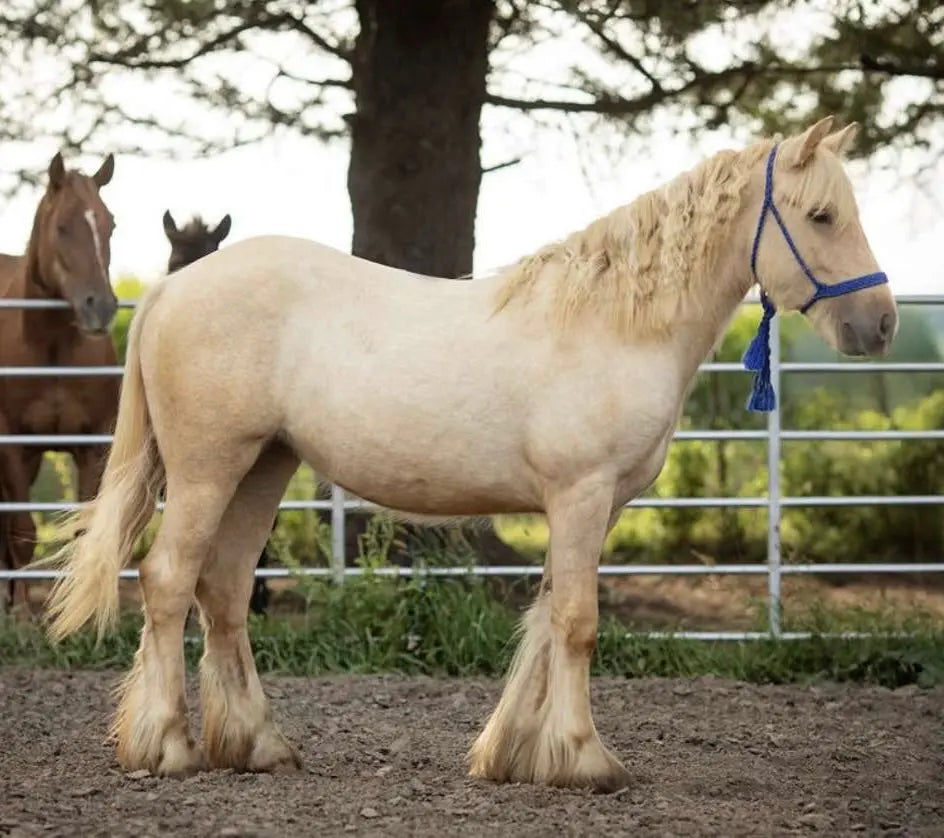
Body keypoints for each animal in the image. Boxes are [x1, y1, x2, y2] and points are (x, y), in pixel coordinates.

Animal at [0, 151, 119, 613]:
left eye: (110, 223)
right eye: (63, 226)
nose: (100, 307)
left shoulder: (92, 446)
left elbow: (85, 532)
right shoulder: (12, 445)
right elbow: (21, 530)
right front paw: (20, 614)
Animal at [37, 117, 897, 791]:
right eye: (821, 216)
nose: (881, 324)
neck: (615, 324)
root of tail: (168, 292)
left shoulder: (583, 508)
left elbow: (546, 615)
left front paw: (514, 754)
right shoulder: (581, 497)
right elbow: (577, 623)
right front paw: (585, 758)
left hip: (263, 468)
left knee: (221, 591)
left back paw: (258, 745)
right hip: (208, 469)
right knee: (167, 581)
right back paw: (167, 747)